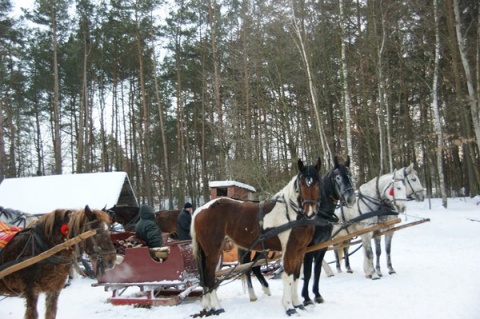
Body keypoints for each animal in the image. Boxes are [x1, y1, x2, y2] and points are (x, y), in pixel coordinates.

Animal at [191, 159, 322, 316]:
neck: (292, 213)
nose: (310, 210)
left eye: (317, 182)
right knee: (210, 276)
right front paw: (289, 307)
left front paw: (297, 303)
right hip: (213, 251)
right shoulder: (289, 249)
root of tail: (200, 210)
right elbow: (288, 276)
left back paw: (210, 306)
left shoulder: (300, 250)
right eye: (301, 183)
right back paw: (217, 307)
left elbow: (296, 276)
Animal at [300, 156, 356, 306]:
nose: (351, 198)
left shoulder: (322, 246)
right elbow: (308, 272)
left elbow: (317, 270)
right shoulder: (308, 249)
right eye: (337, 178)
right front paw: (306, 298)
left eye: (350, 175)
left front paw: (317, 294)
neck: (318, 216)